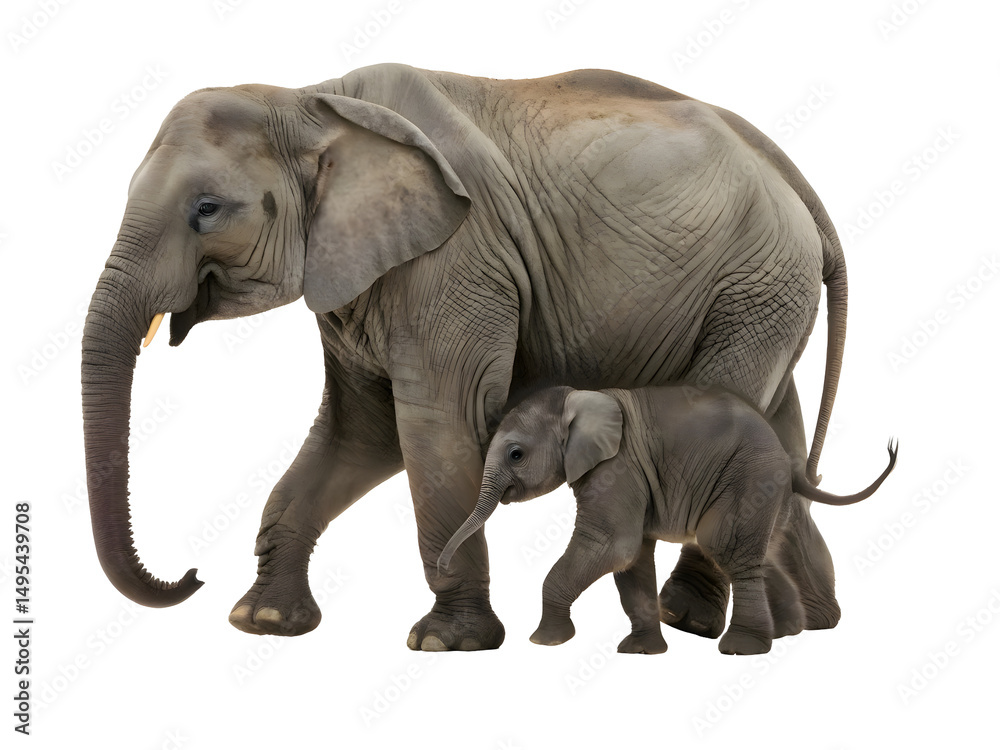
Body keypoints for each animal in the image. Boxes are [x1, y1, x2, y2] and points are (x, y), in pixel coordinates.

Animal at [82, 63, 851, 651]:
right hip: (762, 296)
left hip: (754, 283)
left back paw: (687, 619)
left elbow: (434, 425)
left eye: (207, 209)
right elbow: (359, 431)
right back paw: (809, 625)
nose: (190, 577)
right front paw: (264, 621)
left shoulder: (457, 262)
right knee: (778, 431)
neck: (311, 99)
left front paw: (445, 642)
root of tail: (792, 175)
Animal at [438, 385, 897, 655]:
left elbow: (612, 545)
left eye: (516, 454)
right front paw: (641, 652)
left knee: (725, 547)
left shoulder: (618, 466)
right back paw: (787, 632)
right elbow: (632, 559)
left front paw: (545, 642)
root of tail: (786, 458)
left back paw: (742, 648)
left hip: (751, 477)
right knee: (758, 555)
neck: (579, 396)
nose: (442, 567)